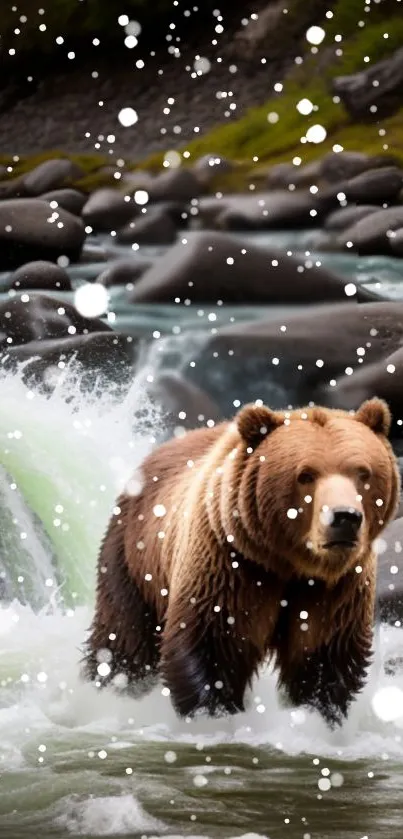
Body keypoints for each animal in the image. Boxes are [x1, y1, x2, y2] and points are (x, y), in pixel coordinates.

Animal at [83, 398, 400, 724]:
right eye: (305, 475)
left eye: (362, 472)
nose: (344, 517)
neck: (289, 563)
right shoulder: (231, 564)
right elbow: (212, 643)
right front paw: (214, 713)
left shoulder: (335, 587)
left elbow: (323, 654)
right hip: (134, 558)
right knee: (124, 641)